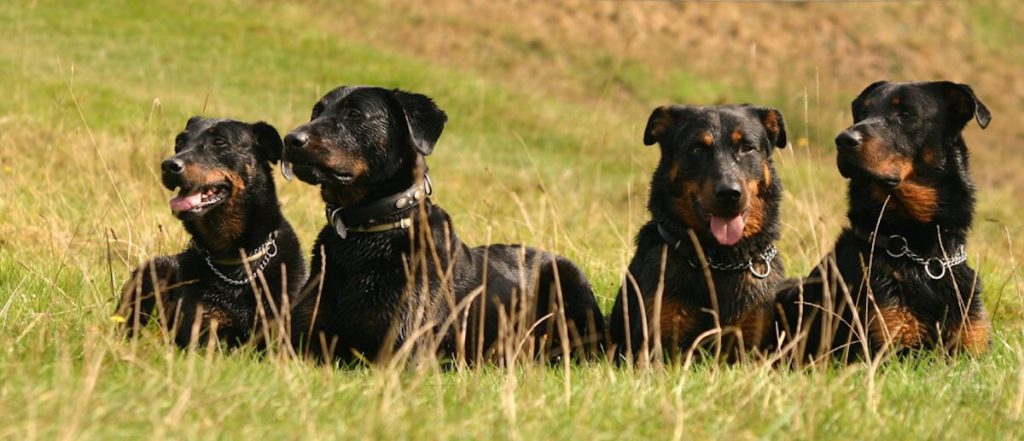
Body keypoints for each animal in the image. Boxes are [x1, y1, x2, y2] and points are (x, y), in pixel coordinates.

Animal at [116, 117, 305, 347]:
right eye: (179, 142)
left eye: (219, 142)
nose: (168, 165)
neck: (236, 258)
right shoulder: (205, 329)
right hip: (155, 270)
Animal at [774, 81, 991, 364]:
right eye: (862, 113)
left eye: (907, 113)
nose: (843, 140)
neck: (921, 254)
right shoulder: (882, 349)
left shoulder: (974, 347)